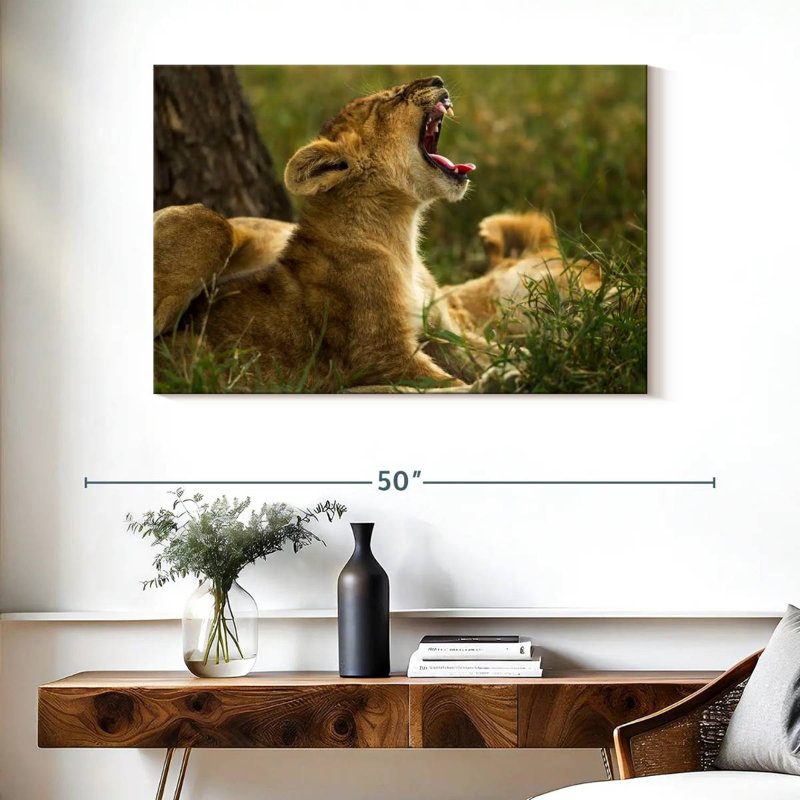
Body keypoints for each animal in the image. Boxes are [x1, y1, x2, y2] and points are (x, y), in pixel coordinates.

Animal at [156, 76, 484, 391]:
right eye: (394, 97)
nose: (439, 80)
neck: (400, 233)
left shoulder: (441, 333)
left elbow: (483, 354)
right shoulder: (380, 354)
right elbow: (454, 384)